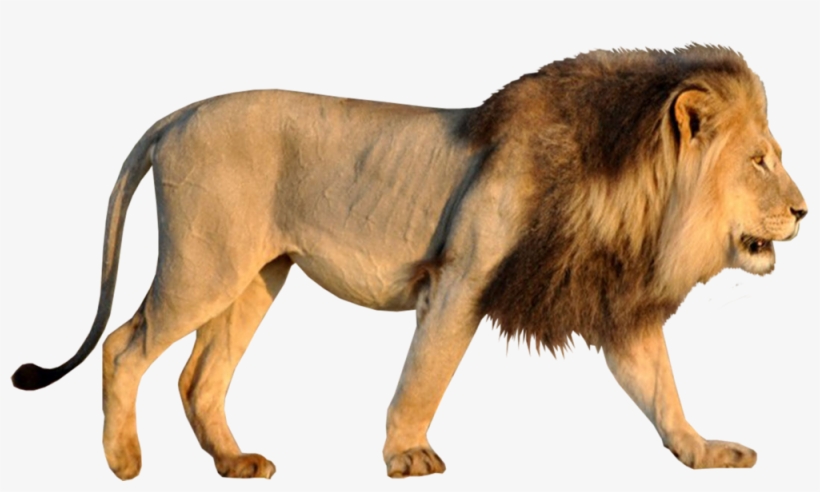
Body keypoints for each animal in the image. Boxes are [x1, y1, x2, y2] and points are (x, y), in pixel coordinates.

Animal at [11, 45, 807, 480]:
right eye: (760, 162)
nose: (804, 211)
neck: (638, 198)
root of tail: (176, 114)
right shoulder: (460, 278)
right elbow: (426, 375)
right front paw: (407, 457)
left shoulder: (616, 306)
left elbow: (663, 391)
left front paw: (705, 452)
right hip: (204, 265)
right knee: (123, 346)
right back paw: (123, 461)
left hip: (257, 275)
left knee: (200, 378)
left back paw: (236, 464)